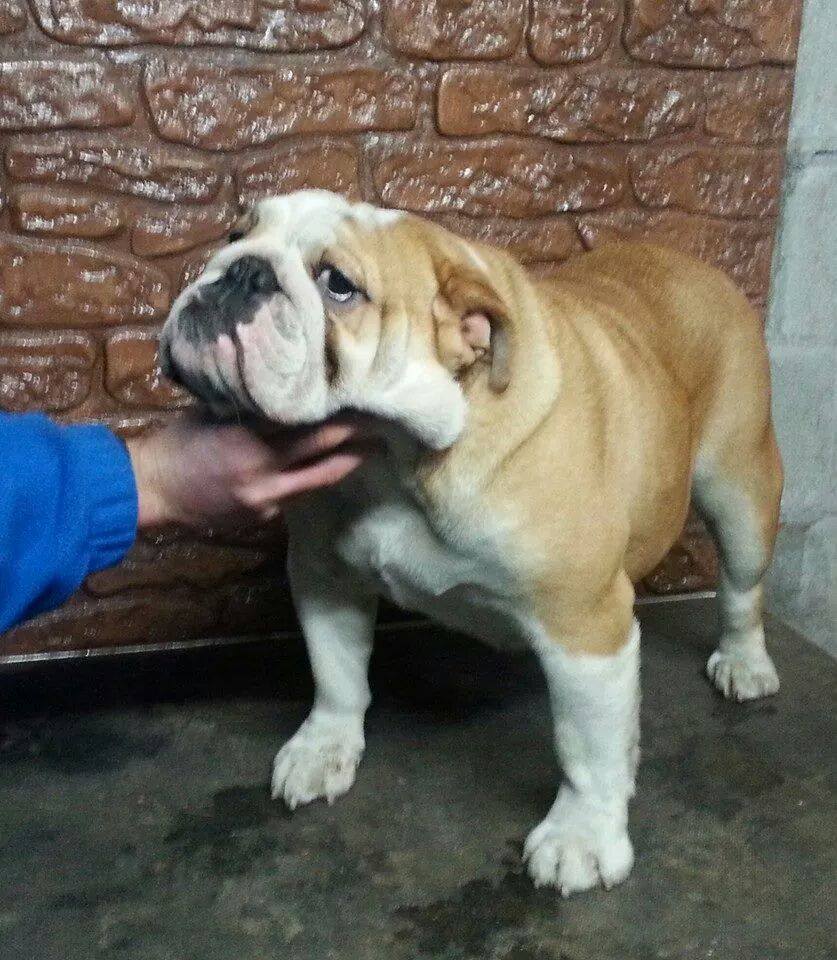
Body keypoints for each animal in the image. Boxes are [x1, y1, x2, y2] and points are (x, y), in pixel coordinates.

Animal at [160, 190, 783, 896]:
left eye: (338, 284)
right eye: (233, 235)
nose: (242, 270)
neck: (396, 458)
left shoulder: (585, 627)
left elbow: (588, 746)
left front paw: (583, 835)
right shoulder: (325, 576)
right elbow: (336, 673)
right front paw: (325, 747)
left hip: (739, 487)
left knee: (742, 586)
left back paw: (745, 662)